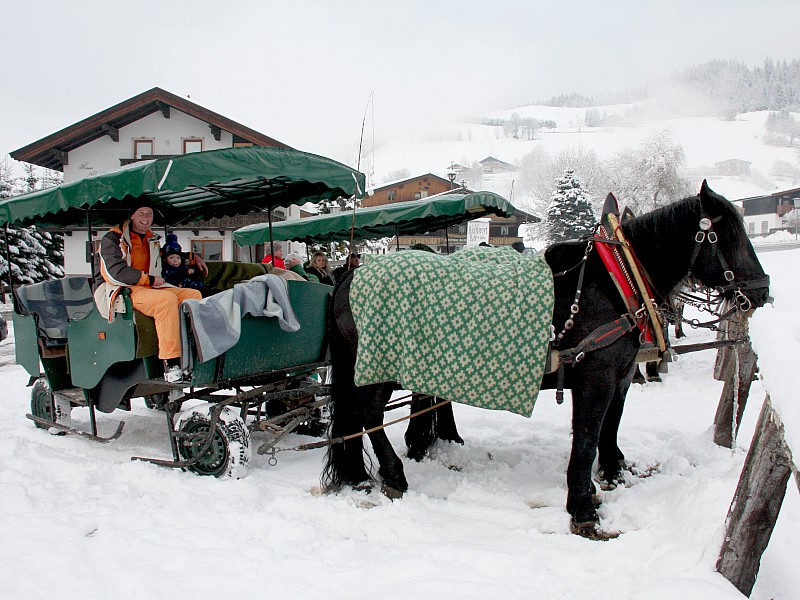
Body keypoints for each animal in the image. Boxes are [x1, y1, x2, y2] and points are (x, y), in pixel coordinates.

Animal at [322, 182, 772, 536]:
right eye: (728, 235)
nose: (762, 290)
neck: (617, 280)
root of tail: (349, 276)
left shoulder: (622, 375)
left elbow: (611, 428)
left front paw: (612, 473)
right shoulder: (596, 375)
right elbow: (587, 437)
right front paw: (582, 505)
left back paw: (362, 472)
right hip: (378, 368)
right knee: (367, 416)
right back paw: (393, 474)